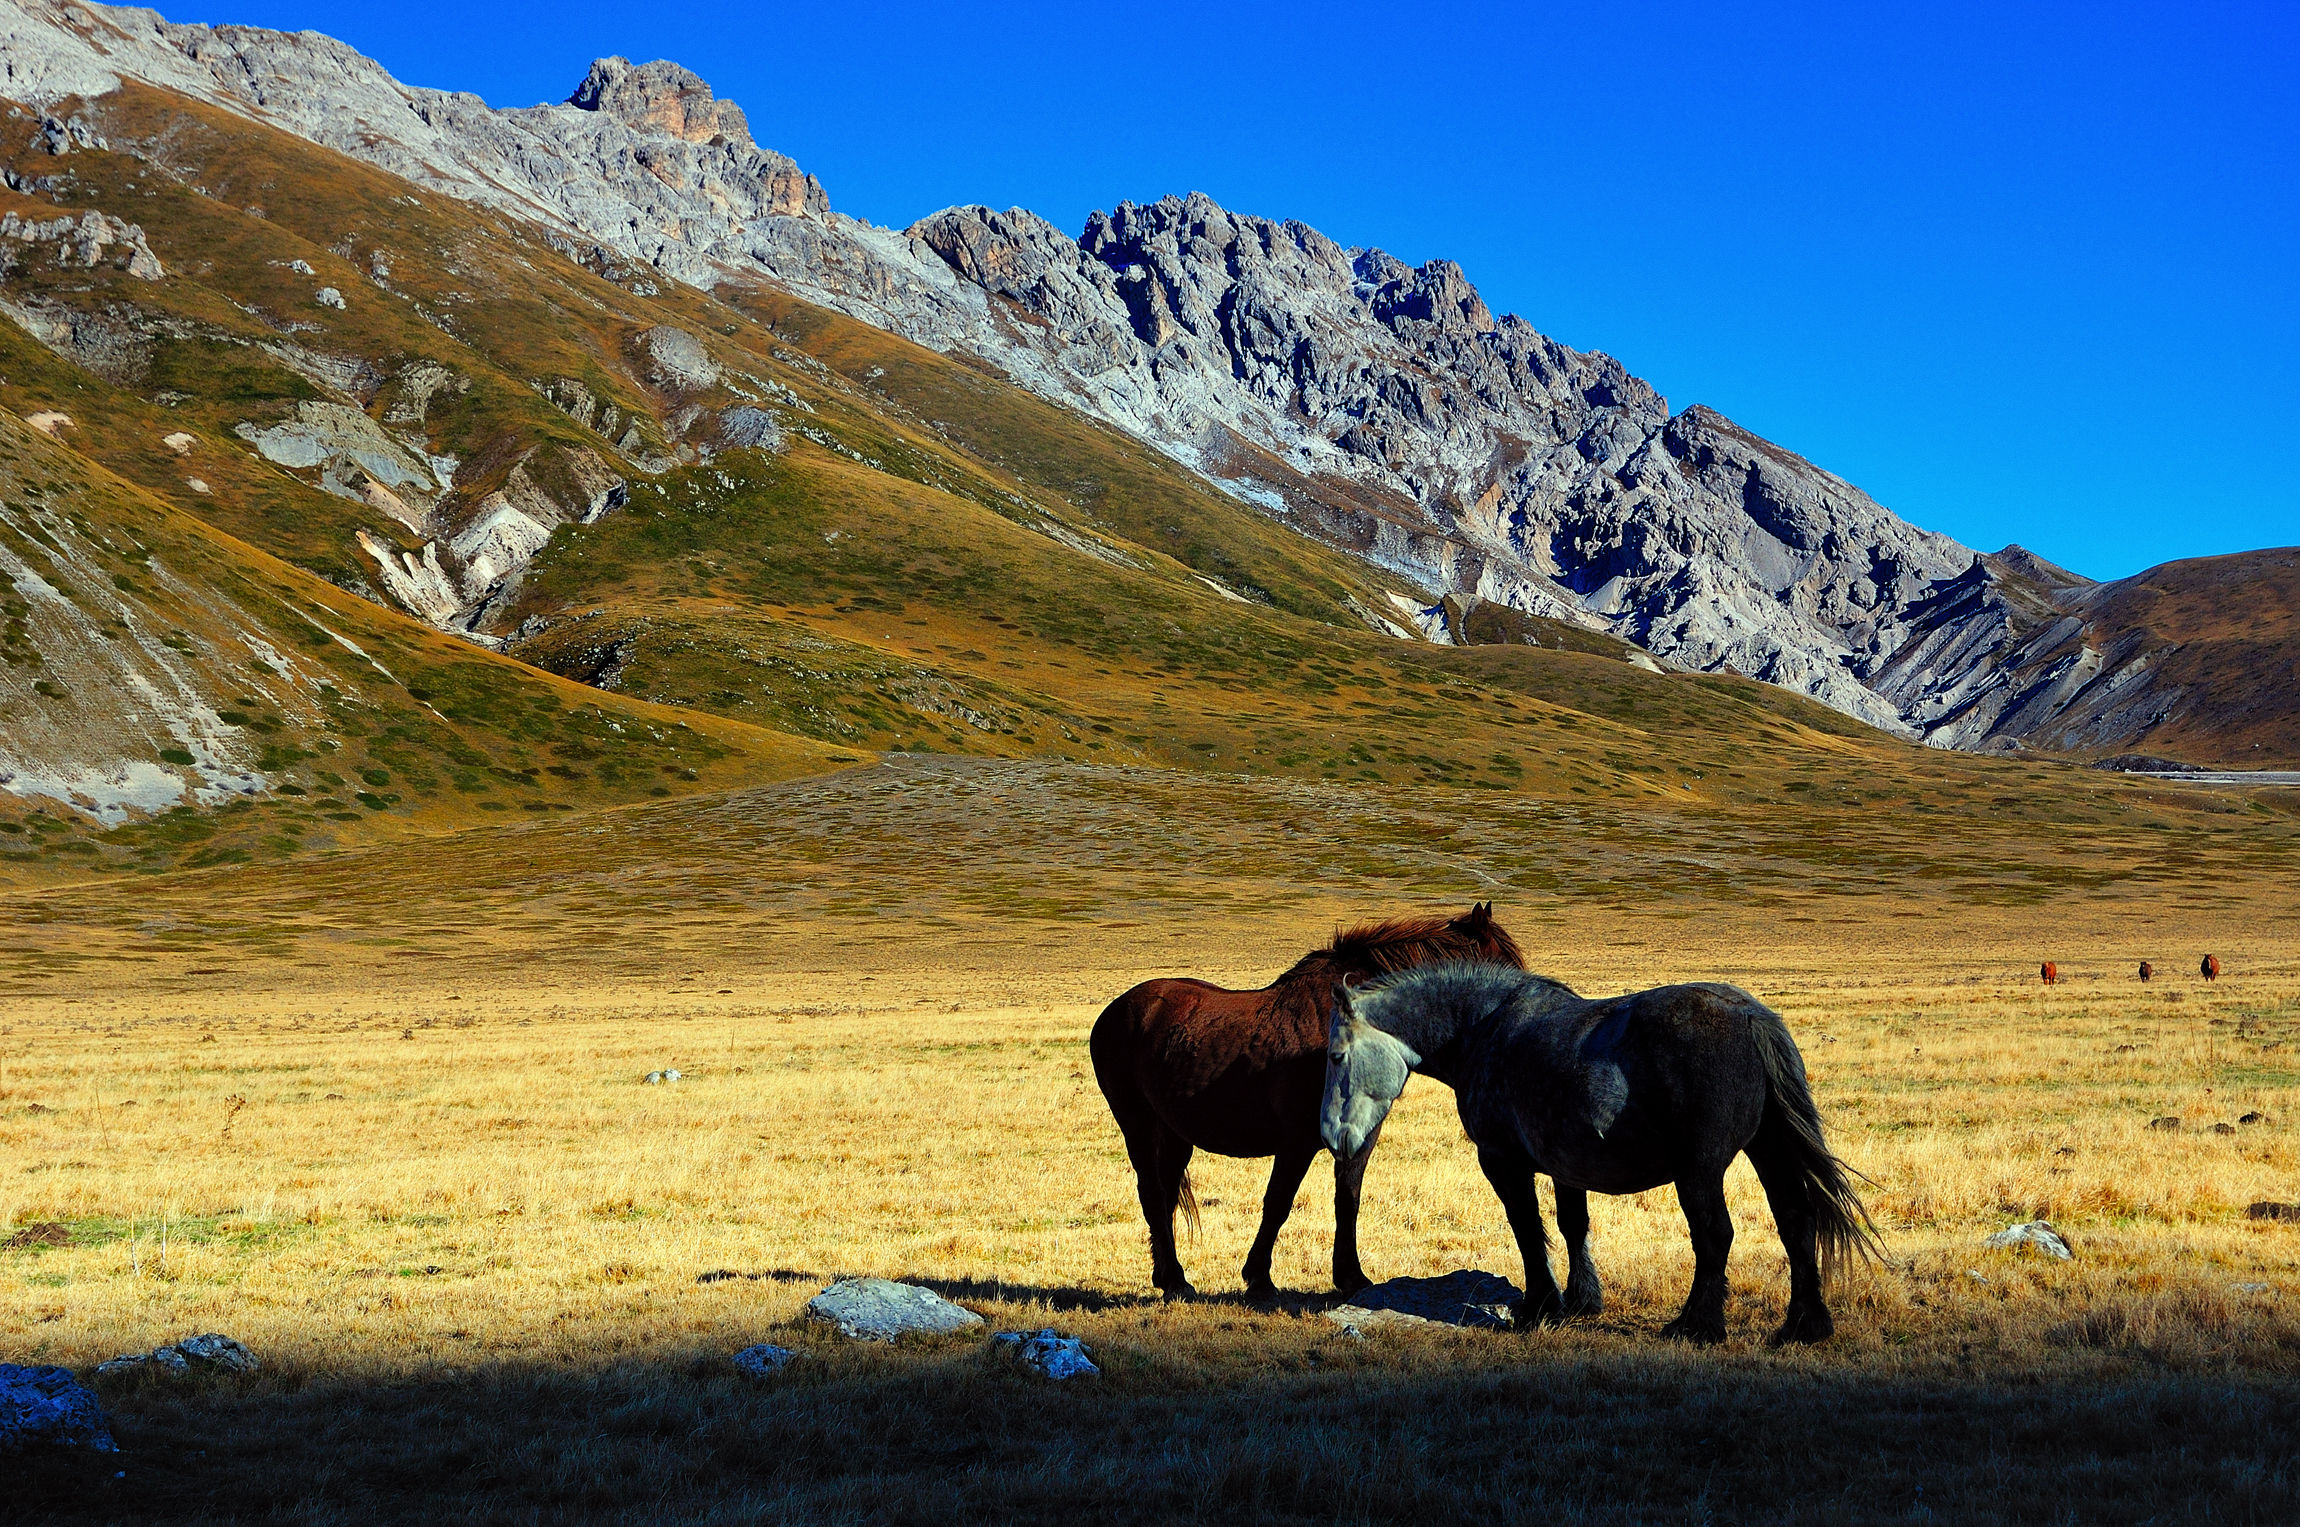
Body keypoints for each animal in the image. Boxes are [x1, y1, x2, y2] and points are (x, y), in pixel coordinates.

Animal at [1091, 904, 1524, 1299]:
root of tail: (1116, 1010)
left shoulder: (1358, 1141)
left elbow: (1347, 1200)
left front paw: (1350, 1278)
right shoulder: (1296, 1143)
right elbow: (1278, 1203)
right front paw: (1259, 1280)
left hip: (1175, 1134)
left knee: (1164, 1196)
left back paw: (1168, 1278)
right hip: (1137, 1125)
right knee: (1152, 1194)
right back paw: (1177, 1282)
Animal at [1321, 960, 1881, 1345]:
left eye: (1336, 1055)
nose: (1332, 1136)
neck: (1483, 1030)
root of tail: (1750, 1018)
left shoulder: (1503, 1162)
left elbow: (1527, 1228)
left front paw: (1540, 1307)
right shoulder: (1566, 1165)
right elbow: (1573, 1225)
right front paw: (1582, 1300)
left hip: (1699, 1172)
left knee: (1715, 1236)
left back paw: (1696, 1325)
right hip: (1770, 1151)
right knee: (1795, 1223)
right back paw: (1804, 1325)